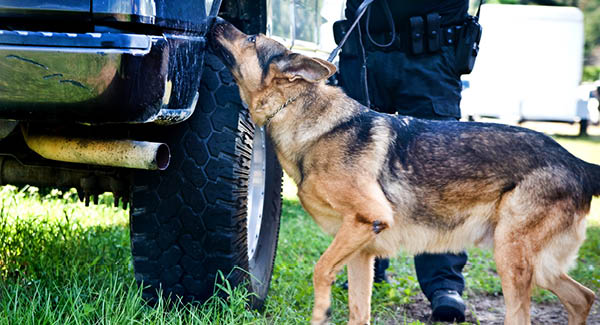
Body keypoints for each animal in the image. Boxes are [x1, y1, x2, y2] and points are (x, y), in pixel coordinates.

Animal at [210, 19, 596, 324]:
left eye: (251, 38)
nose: (215, 20)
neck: (303, 115)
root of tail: (576, 162)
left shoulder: (368, 219)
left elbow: (320, 271)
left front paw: (320, 313)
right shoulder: (361, 250)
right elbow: (358, 311)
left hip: (512, 258)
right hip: (537, 265)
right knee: (583, 297)